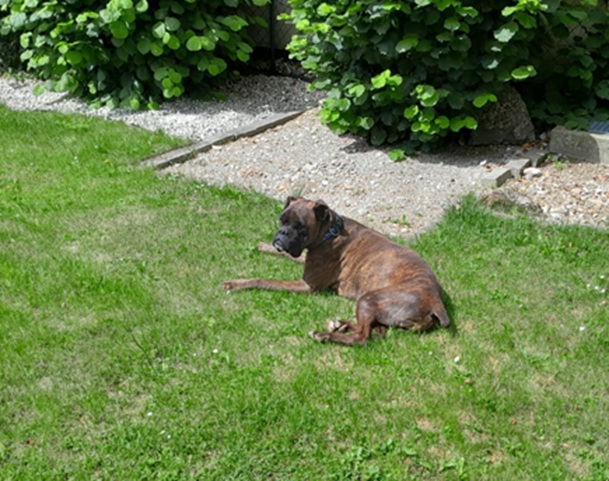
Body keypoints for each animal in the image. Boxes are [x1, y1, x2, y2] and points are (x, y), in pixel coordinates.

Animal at [222, 196, 450, 345]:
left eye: (300, 226)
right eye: (282, 220)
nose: (282, 233)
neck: (330, 232)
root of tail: (435, 301)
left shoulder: (307, 286)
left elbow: (264, 280)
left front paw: (235, 283)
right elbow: (287, 255)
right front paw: (263, 246)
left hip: (369, 299)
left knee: (362, 338)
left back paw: (325, 335)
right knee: (376, 331)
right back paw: (339, 324)